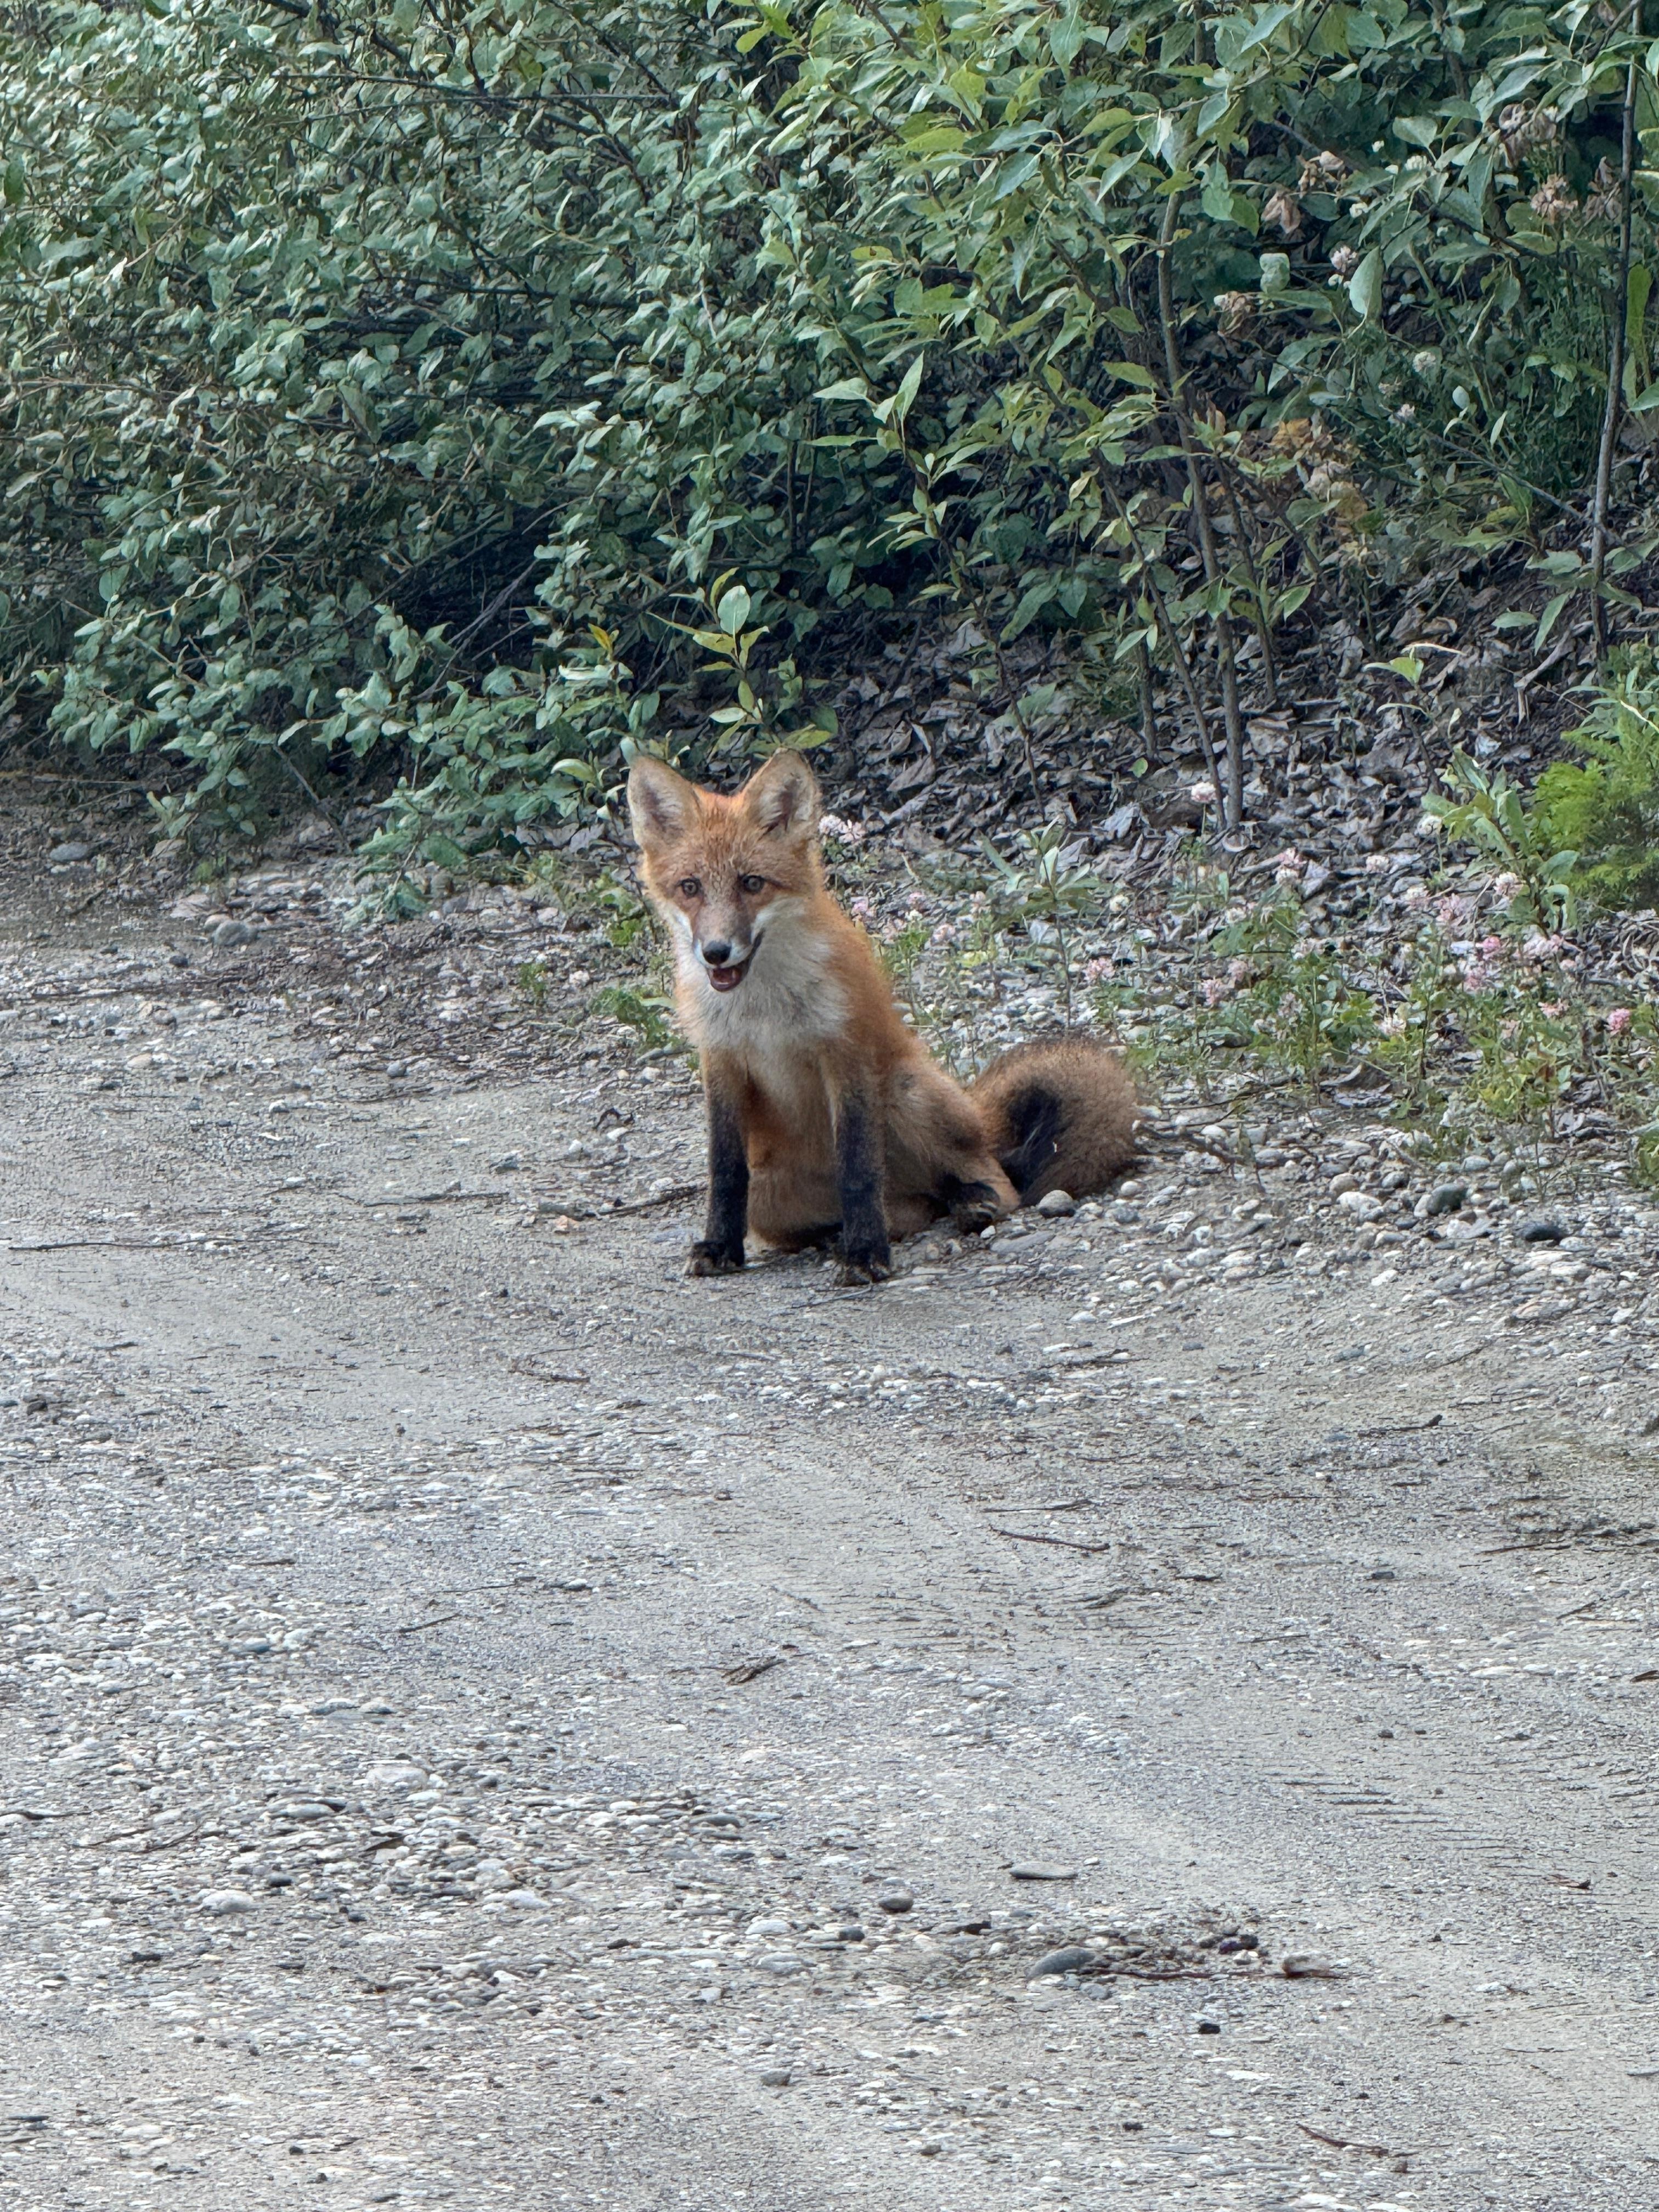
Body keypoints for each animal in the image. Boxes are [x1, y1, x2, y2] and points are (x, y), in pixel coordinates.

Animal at [627, 748, 1141, 1285]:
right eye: (690, 888)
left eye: (752, 884)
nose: (716, 952)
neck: (762, 1010)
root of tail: (978, 1115)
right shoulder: (721, 1059)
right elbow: (725, 1171)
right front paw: (722, 1247)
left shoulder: (845, 1052)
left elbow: (858, 1169)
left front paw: (865, 1254)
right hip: (769, 1198)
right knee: (917, 1207)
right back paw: (853, 1231)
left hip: (906, 1093)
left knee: (996, 1183)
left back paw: (970, 1205)